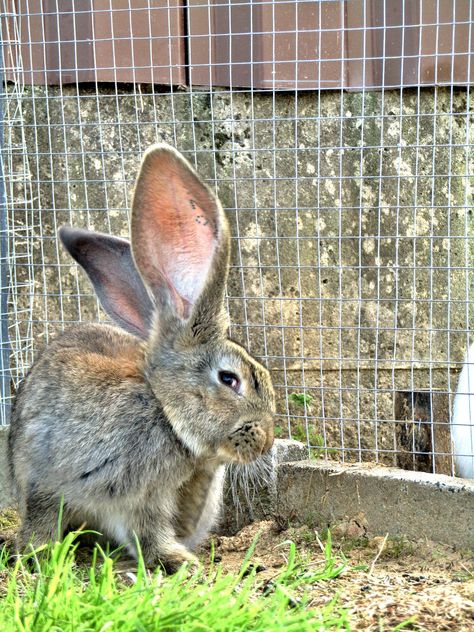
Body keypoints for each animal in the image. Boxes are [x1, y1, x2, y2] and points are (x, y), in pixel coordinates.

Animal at [7, 144, 276, 572]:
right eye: (229, 379)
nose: (266, 441)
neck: (164, 411)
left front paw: (178, 559)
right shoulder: (66, 484)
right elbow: (55, 519)